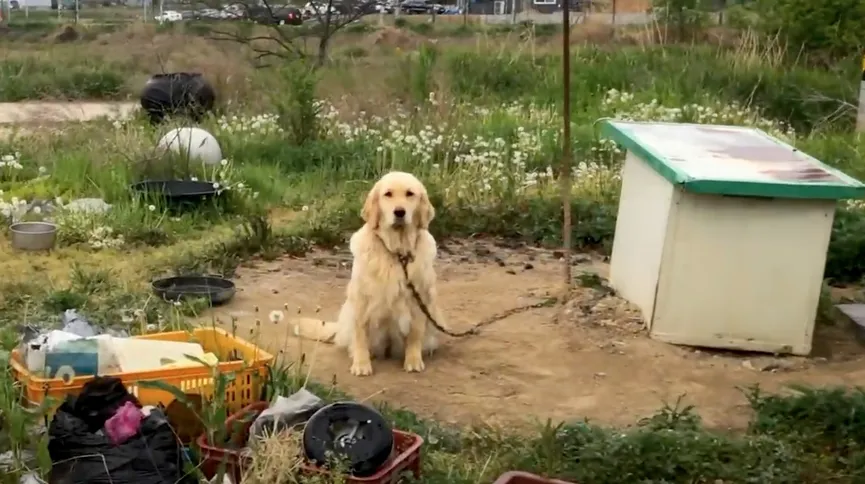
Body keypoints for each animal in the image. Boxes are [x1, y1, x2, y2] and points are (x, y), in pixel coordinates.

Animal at [334, 172, 446, 376]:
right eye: (388, 194)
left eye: (410, 194)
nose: (399, 212)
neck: (397, 252)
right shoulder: (361, 298)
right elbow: (360, 334)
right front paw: (361, 364)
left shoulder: (419, 298)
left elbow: (415, 334)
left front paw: (413, 360)